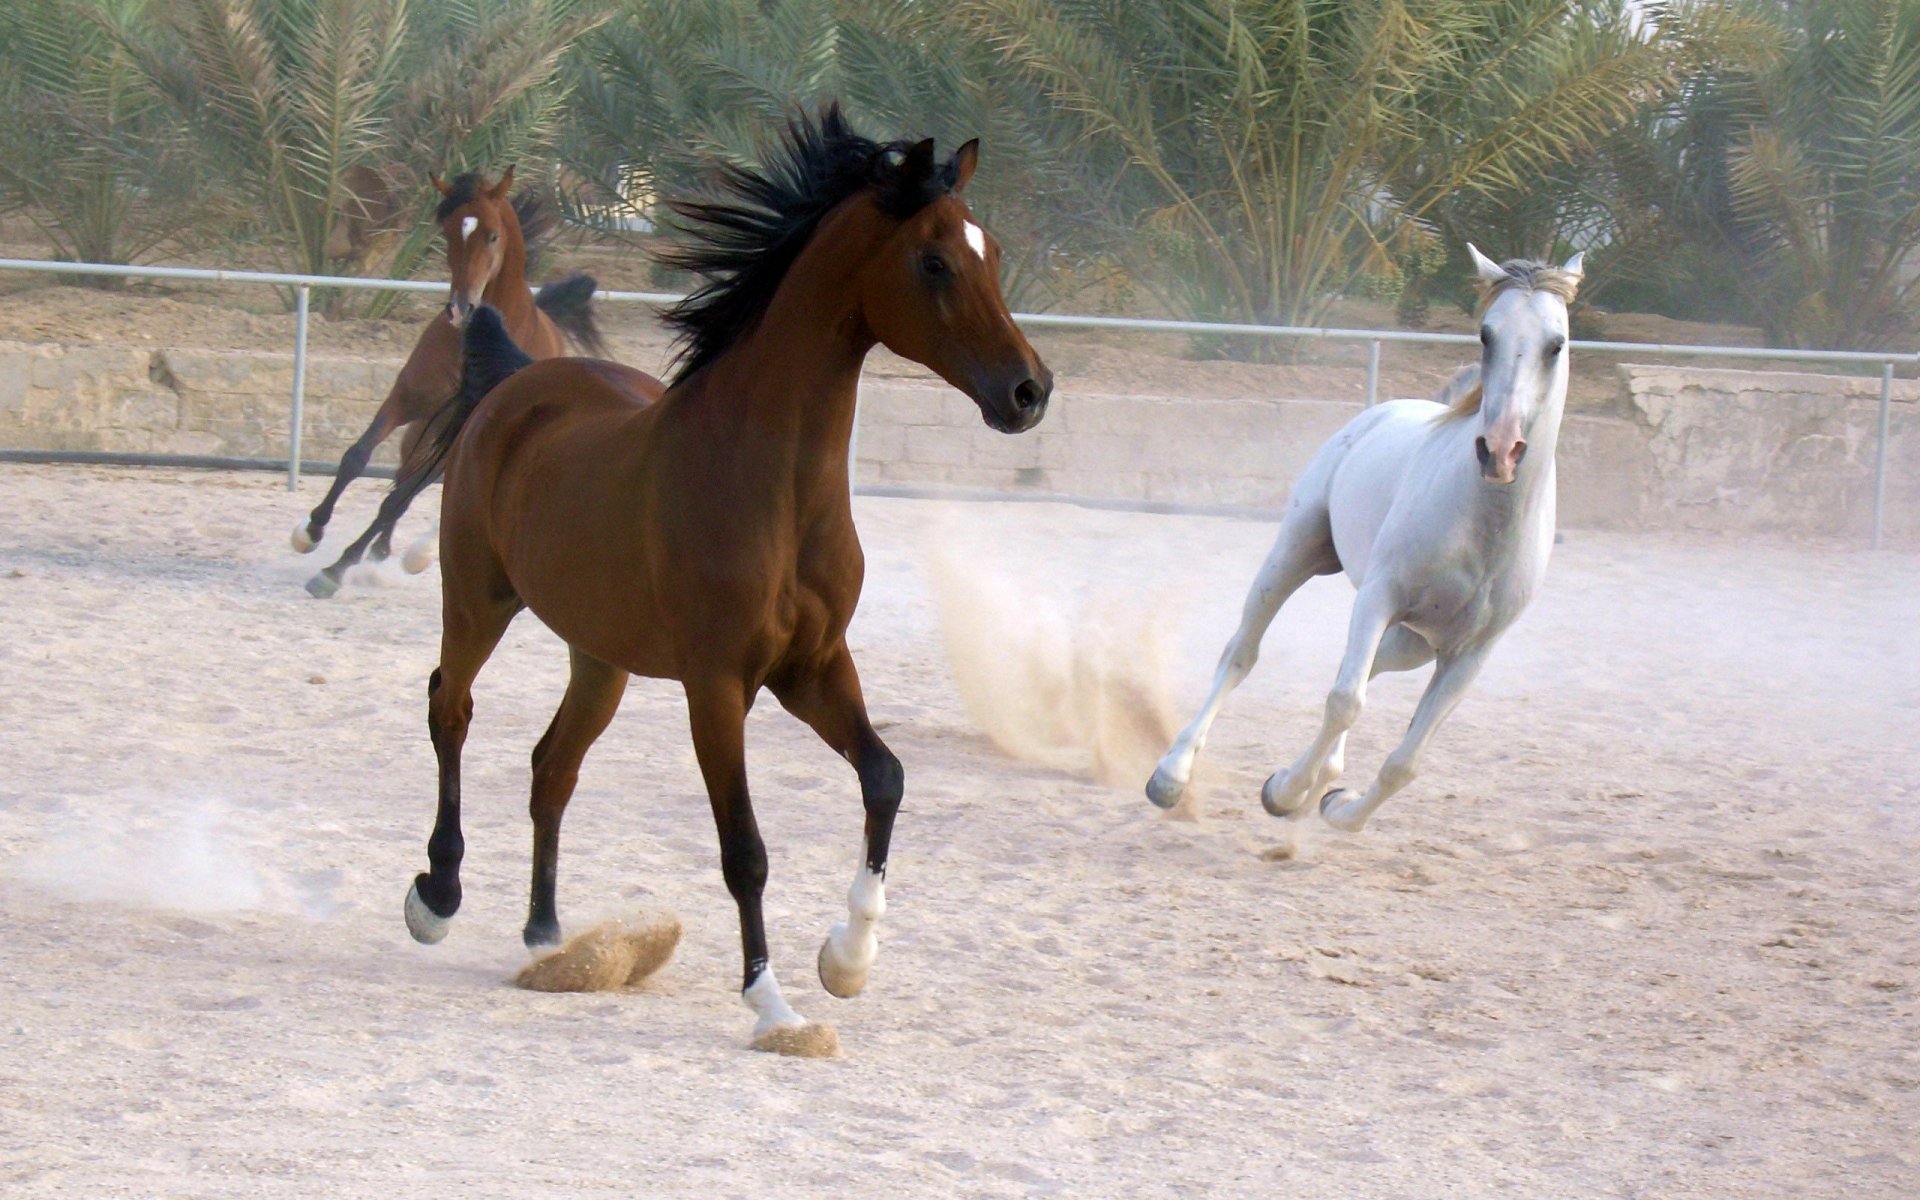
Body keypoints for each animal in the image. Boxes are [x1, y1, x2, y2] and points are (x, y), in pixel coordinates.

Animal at [290, 167, 604, 599]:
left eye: (493, 235)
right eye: (449, 231)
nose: (460, 308)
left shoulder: (460, 427)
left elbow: (397, 500)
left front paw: (334, 571)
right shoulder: (406, 399)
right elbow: (357, 457)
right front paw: (311, 530)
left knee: (412, 491)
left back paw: (403, 555)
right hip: (423, 432)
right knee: (403, 476)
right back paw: (381, 550)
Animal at [391, 106, 1052, 1052]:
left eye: (989, 250)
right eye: (934, 261)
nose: (1030, 391)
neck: (770, 484)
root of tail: (518, 379)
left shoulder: (813, 667)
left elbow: (885, 777)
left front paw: (847, 960)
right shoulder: (718, 686)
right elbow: (746, 849)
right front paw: (773, 1003)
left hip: (601, 656)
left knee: (553, 766)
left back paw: (549, 938)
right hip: (478, 599)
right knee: (451, 708)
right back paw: (437, 897)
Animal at [1146, 246, 1582, 832]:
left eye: (1555, 344)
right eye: (1486, 334)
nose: (1499, 450)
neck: (1483, 530)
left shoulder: (1470, 653)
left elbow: (1403, 763)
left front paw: (1334, 805)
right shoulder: (1379, 598)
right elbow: (1344, 703)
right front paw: (1286, 791)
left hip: (1415, 642)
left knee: (1361, 670)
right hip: (1297, 554)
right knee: (1242, 653)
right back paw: (1172, 776)